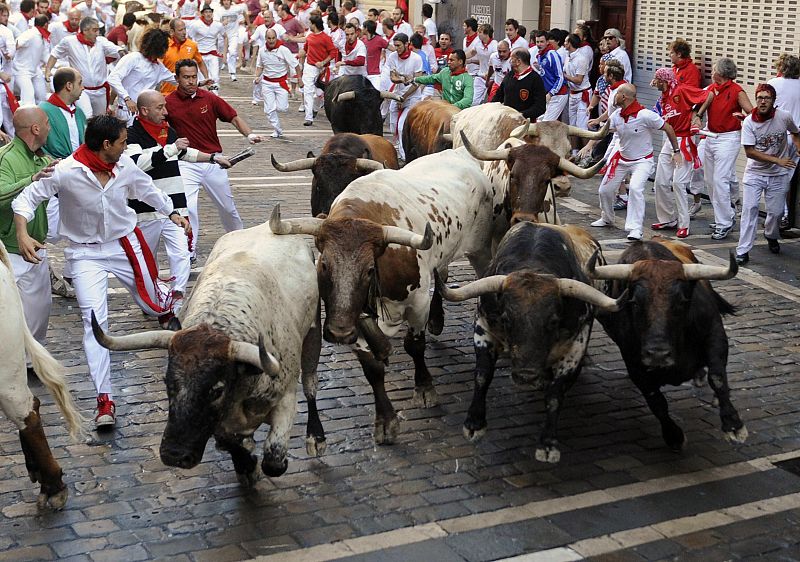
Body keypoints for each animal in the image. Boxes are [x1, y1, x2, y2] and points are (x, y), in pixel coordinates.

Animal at [94, 221, 328, 484]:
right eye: (168, 383)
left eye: (216, 390)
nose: (174, 455)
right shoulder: (221, 423)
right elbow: (230, 442)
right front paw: (246, 463)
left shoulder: (285, 398)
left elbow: (274, 462)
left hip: (313, 335)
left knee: (310, 384)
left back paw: (316, 437)